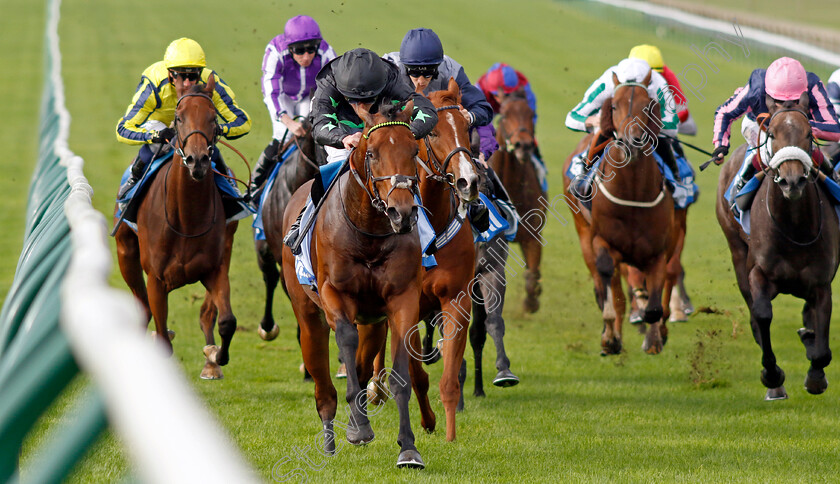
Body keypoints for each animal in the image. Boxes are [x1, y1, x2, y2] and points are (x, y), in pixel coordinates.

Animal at [113, 76, 238, 378]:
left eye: (213, 118)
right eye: (179, 118)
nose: (197, 160)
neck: (187, 218)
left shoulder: (214, 269)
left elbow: (227, 320)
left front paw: (216, 356)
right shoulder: (156, 279)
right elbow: (160, 334)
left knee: (207, 314)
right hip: (126, 253)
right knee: (144, 310)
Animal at [282, 101, 430, 468]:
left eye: (413, 150)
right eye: (373, 153)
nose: (402, 212)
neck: (370, 234)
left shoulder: (402, 300)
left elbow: (399, 376)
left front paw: (408, 447)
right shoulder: (336, 295)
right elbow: (346, 341)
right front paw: (360, 429)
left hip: (373, 321)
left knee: (363, 366)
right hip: (309, 315)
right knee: (323, 386)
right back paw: (331, 440)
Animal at [486, 88, 544, 312]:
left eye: (531, 114)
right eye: (505, 114)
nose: (524, 145)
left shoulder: (533, 236)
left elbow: (532, 274)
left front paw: (531, 301)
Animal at [560, 72, 680, 358]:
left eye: (647, 106)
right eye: (613, 106)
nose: (632, 141)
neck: (633, 194)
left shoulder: (658, 252)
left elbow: (654, 306)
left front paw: (653, 340)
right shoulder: (602, 242)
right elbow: (610, 292)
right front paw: (610, 336)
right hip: (584, 235)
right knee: (607, 286)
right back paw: (611, 336)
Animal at [716, 93, 840, 400]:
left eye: (808, 134)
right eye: (771, 134)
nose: (792, 180)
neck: (793, 228)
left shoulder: (821, 282)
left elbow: (820, 336)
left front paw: (816, 376)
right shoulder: (758, 273)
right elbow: (761, 315)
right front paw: (772, 376)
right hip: (736, 251)